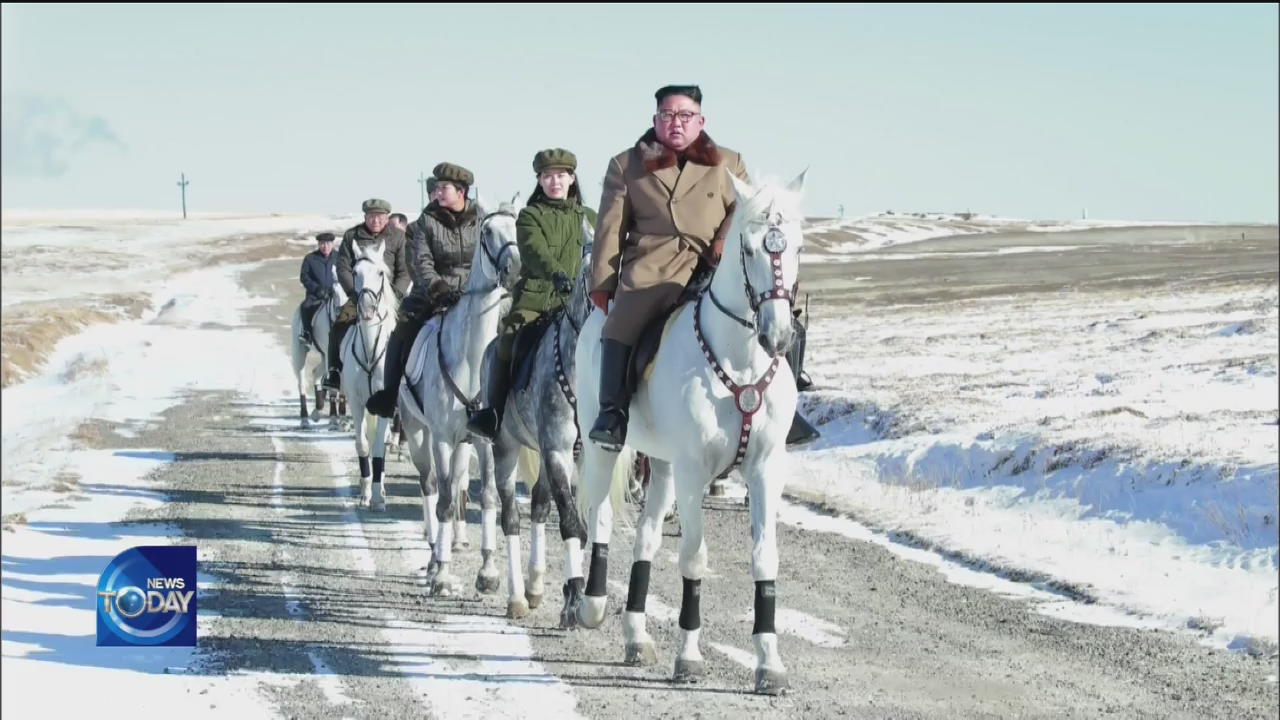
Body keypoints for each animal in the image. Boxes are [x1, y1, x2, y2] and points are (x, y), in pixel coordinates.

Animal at [290, 271, 348, 422]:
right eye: (333, 291)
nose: (341, 311)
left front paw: (342, 411)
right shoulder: (330, 355)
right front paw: (334, 415)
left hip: (323, 356)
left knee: (316, 373)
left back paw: (318, 408)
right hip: (300, 352)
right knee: (301, 380)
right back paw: (305, 414)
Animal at [396, 196, 522, 594]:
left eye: (517, 227)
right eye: (487, 231)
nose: (514, 269)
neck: (470, 358)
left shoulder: (483, 440)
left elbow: (488, 498)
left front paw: (489, 571)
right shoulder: (440, 438)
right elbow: (445, 501)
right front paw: (442, 574)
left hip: (462, 443)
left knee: (456, 484)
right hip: (419, 435)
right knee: (432, 486)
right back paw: (433, 556)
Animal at [576, 170, 803, 691]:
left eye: (797, 247)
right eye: (749, 248)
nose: (778, 336)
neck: (741, 361)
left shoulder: (765, 470)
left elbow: (765, 558)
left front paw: (769, 664)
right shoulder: (694, 472)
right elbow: (694, 558)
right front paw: (690, 655)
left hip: (661, 464)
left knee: (645, 539)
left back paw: (636, 636)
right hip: (601, 448)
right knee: (597, 516)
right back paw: (591, 604)